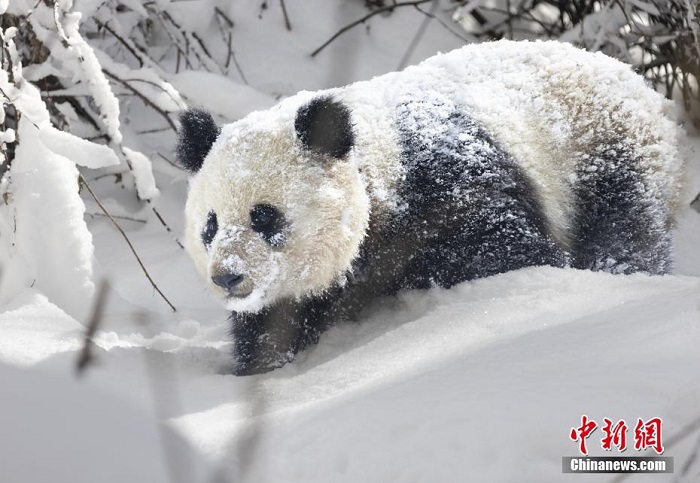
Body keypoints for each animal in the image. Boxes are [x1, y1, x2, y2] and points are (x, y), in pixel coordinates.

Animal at [175, 39, 684, 376]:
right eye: (210, 226)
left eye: (265, 216)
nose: (228, 277)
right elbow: (274, 328)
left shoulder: (449, 181)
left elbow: (509, 253)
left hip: (603, 145)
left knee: (624, 226)